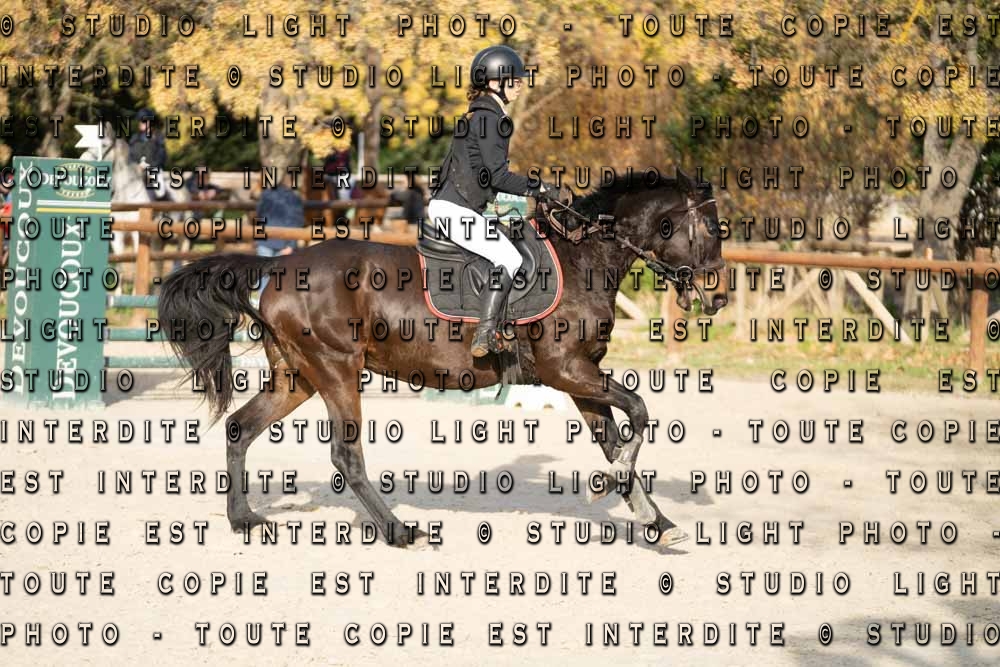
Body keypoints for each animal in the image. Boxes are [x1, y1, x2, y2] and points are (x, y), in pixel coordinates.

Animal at [158, 168, 728, 549]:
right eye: (709, 229)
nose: (718, 297)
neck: (583, 258)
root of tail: (279, 268)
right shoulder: (567, 370)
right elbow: (639, 414)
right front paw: (616, 496)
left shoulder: (580, 377)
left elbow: (614, 441)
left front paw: (656, 522)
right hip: (337, 370)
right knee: (346, 456)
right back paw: (397, 530)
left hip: (297, 376)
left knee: (240, 429)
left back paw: (243, 519)